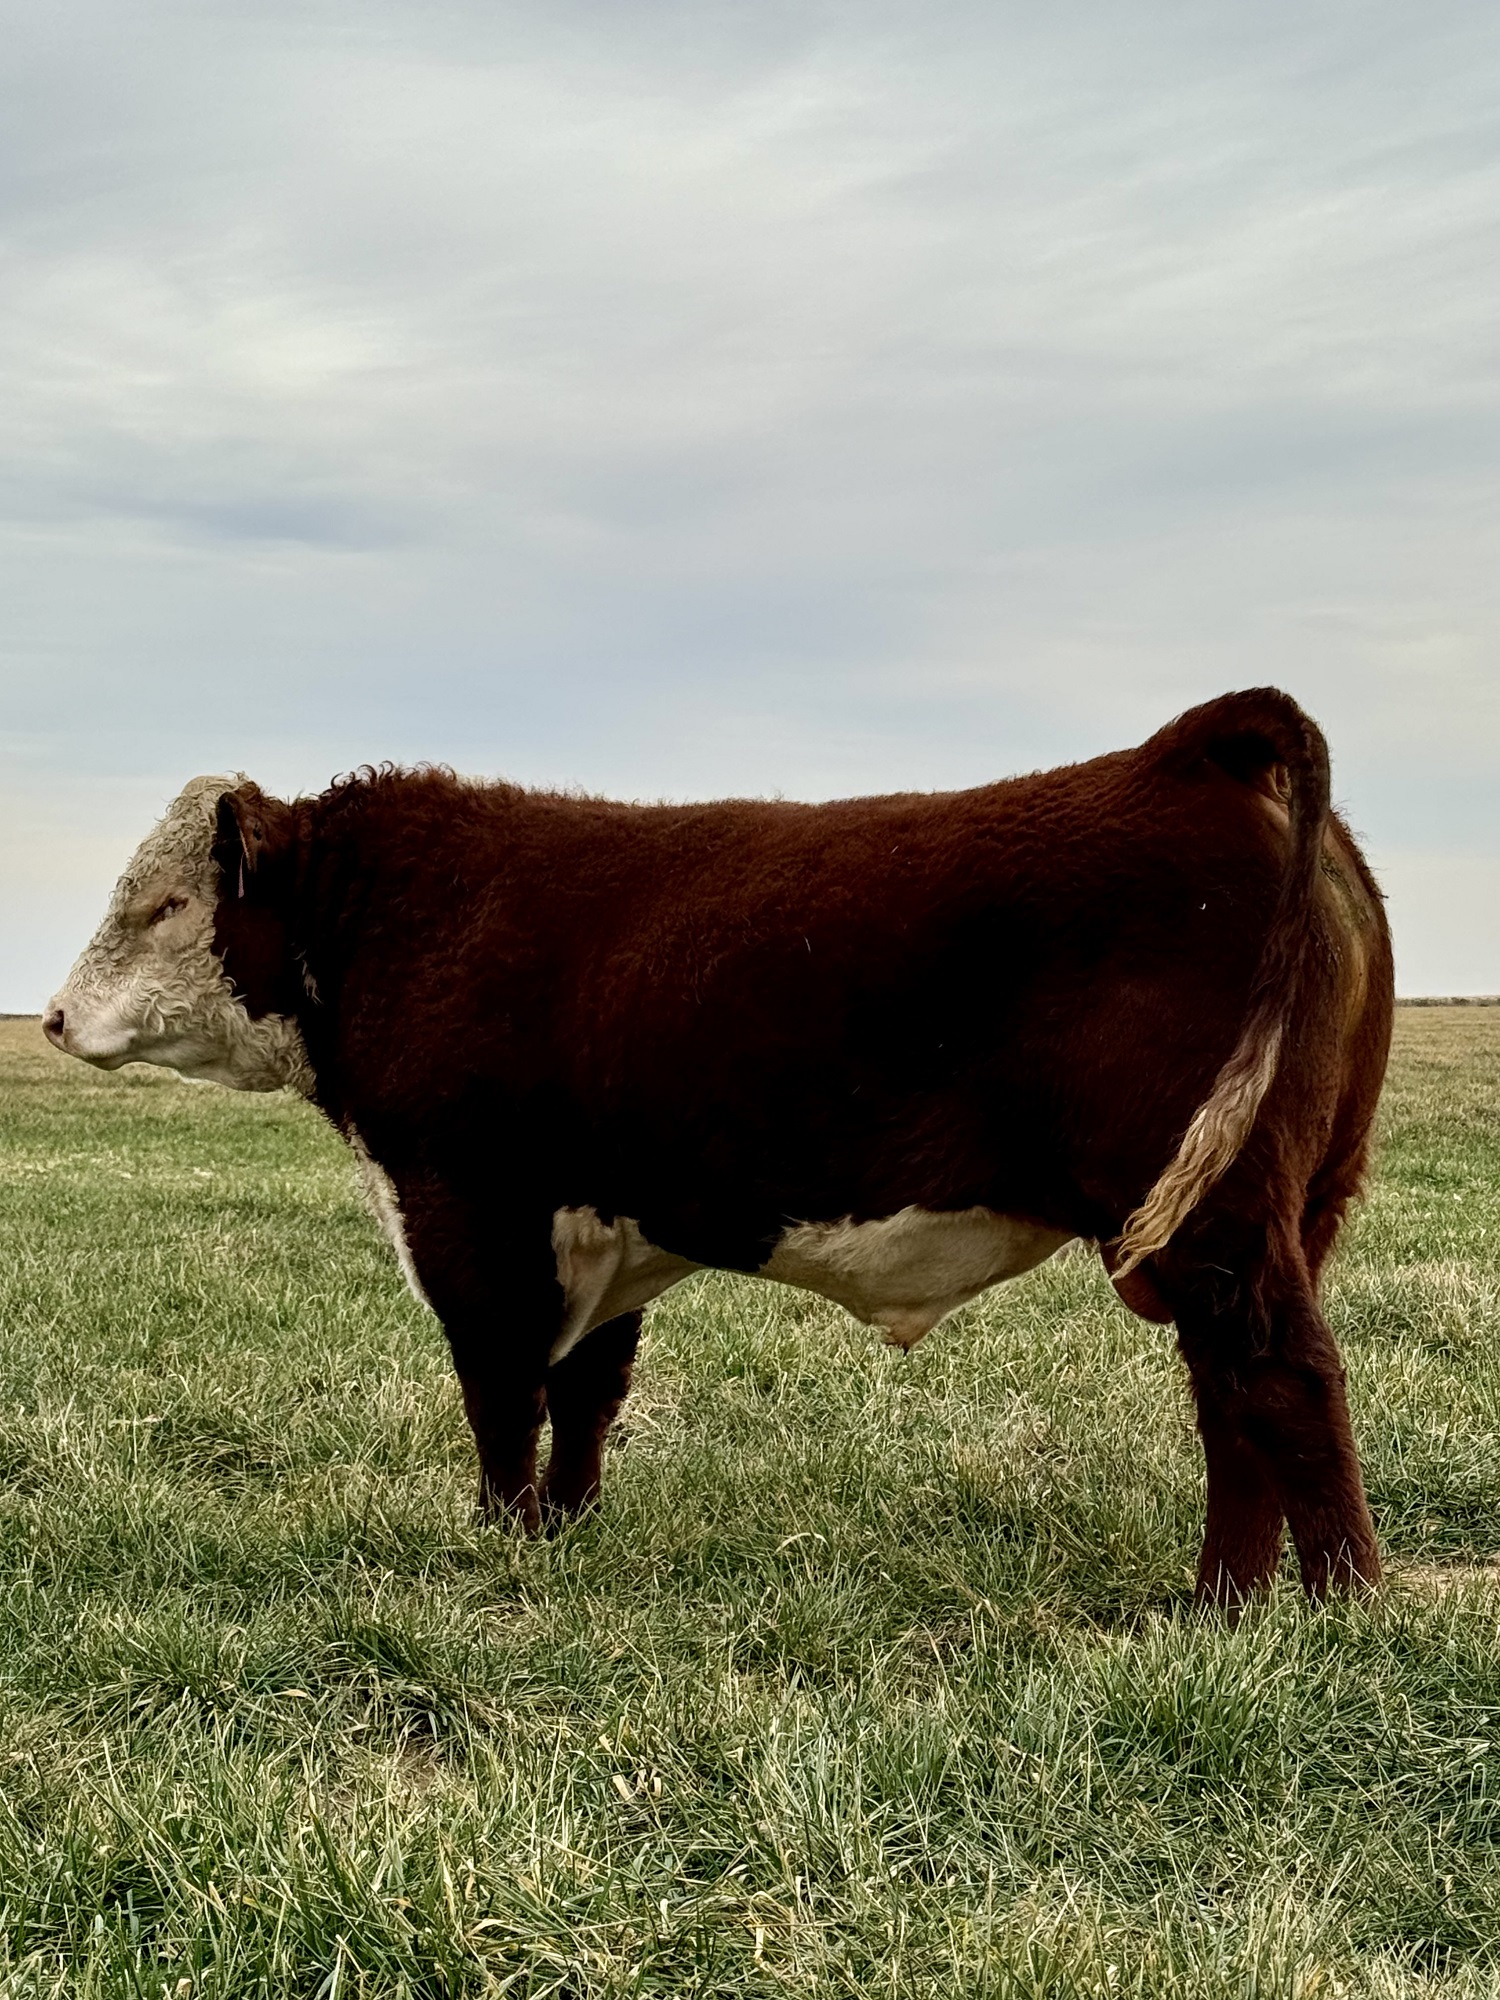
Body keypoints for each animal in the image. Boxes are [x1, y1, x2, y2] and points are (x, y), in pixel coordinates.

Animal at [45, 688, 1393, 1605]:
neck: (398, 917)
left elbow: (502, 1389)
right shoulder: (602, 1220)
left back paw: (1339, 1603)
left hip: (1213, 1215)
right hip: (1282, 1205)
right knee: (1232, 1393)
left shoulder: (469, 1209)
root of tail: (1195, 751)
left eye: (165, 901)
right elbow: (586, 1388)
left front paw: (500, 1544)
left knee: (1284, 1376)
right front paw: (564, 1532)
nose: (52, 1015)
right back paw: (1221, 1604)